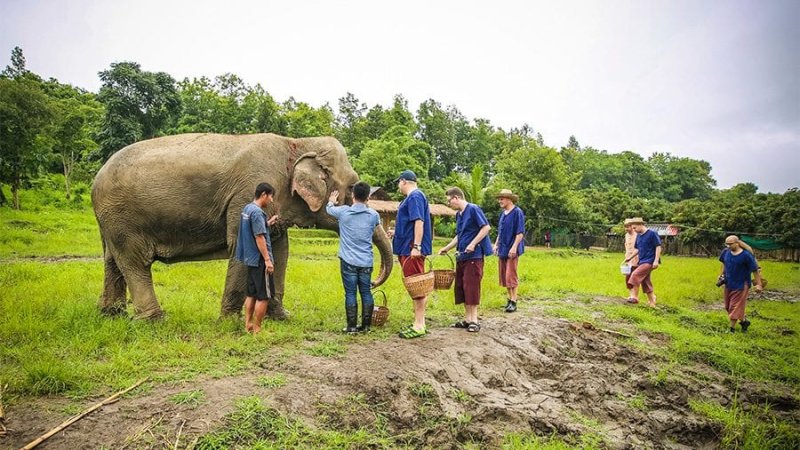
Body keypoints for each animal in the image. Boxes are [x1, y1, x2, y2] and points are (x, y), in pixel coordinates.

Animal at [90, 134, 394, 320]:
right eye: (353, 187)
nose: (374, 281)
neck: (295, 143)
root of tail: (96, 179)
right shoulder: (247, 193)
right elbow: (242, 243)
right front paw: (230, 321)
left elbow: (279, 251)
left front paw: (283, 317)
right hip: (123, 217)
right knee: (135, 262)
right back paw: (155, 320)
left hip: (111, 220)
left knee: (113, 261)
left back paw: (111, 314)